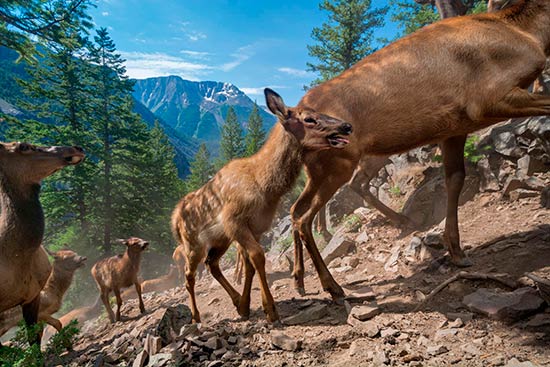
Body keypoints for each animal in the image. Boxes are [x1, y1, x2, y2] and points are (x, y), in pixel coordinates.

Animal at [172, 87, 354, 324]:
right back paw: (195, 316)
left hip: (220, 240)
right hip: (192, 244)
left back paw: (235, 301)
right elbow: (258, 257)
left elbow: (250, 264)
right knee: (189, 275)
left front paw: (246, 305)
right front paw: (270, 309)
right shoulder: (234, 220)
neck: (265, 187)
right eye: (309, 118)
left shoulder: (256, 227)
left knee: (212, 264)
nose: (346, 126)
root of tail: (174, 219)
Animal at [288, 0, 550, 302]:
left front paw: (456, 250)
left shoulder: (455, 128)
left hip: (326, 168)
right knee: (309, 213)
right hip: (343, 163)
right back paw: (332, 284)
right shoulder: (490, 99)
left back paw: (300, 278)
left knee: (298, 209)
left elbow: (455, 180)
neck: (531, 35)